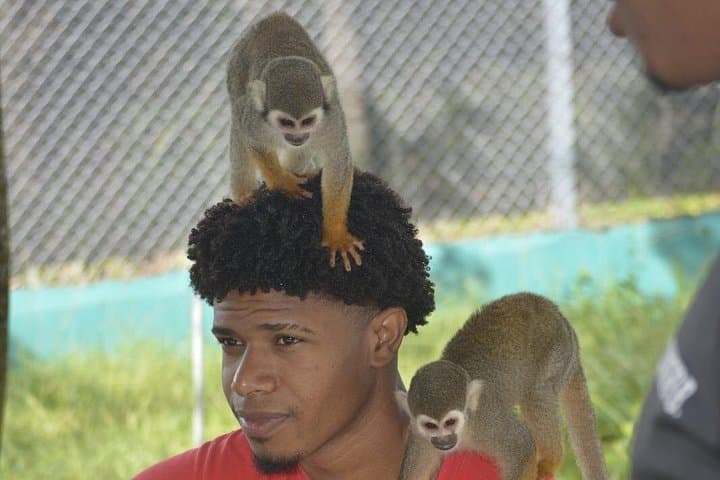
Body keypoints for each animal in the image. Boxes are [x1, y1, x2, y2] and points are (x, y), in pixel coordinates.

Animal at [225, 11, 364, 271]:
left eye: (307, 121)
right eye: (287, 123)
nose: (297, 136)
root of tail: (275, 16)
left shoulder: (331, 120)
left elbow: (337, 162)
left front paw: (335, 235)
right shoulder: (254, 119)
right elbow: (252, 140)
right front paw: (283, 183)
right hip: (234, 72)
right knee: (237, 126)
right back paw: (244, 196)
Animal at [396, 292, 607, 480]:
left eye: (450, 422)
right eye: (430, 426)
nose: (443, 440)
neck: (465, 432)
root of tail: (562, 319)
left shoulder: (488, 421)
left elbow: (523, 450)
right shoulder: (420, 441)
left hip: (556, 351)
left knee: (535, 395)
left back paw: (550, 461)